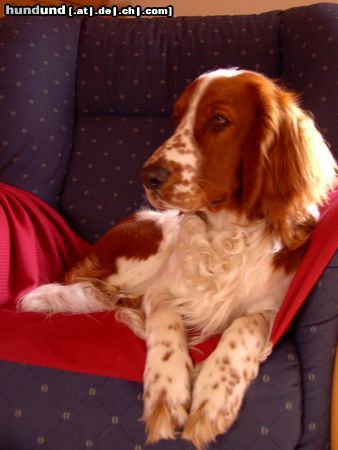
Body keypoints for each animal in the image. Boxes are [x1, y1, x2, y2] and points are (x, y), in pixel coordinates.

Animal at [19, 68, 336, 448]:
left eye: (219, 120)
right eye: (176, 118)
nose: (149, 176)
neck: (225, 234)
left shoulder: (273, 307)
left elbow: (245, 326)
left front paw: (215, 394)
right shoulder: (161, 290)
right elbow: (165, 321)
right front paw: (166, 390)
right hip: (156, 236)